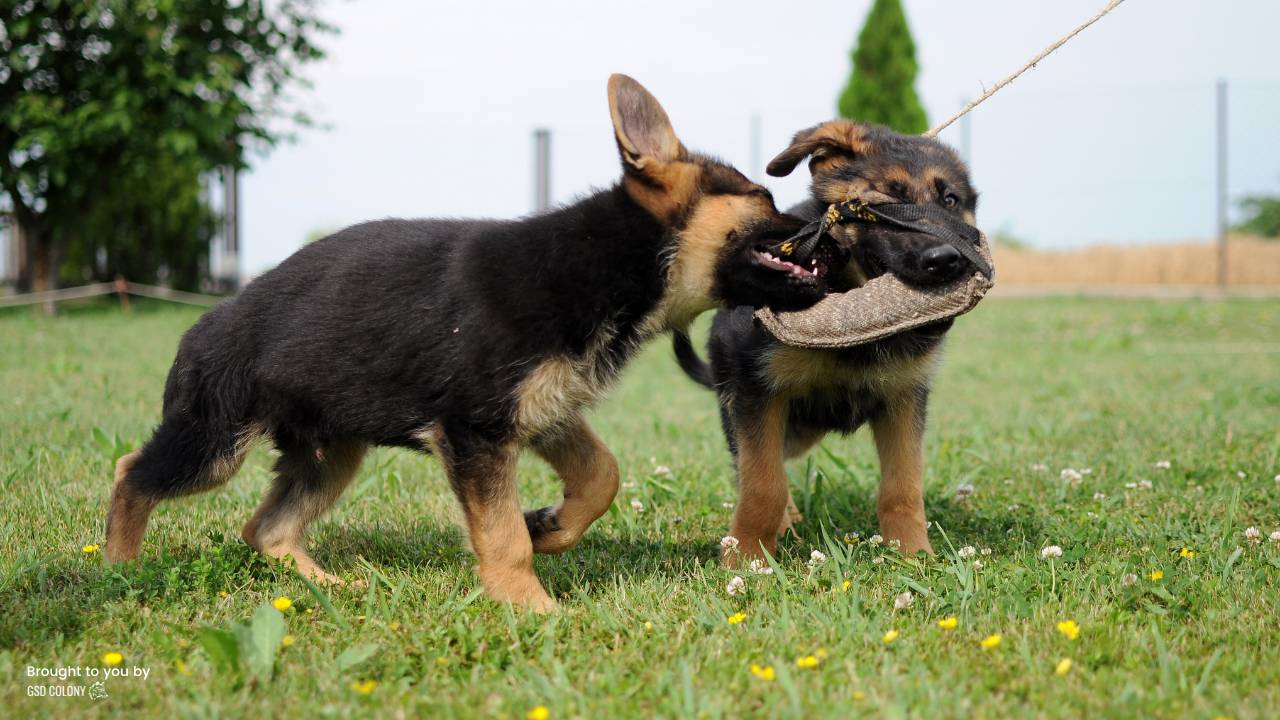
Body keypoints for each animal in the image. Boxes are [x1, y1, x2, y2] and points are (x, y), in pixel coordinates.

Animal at [102, 75, 839, 607]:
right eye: (760, 197)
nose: (831, 234)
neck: (604, 262)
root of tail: (204, 324)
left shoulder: (541, 409)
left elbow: (601, 474)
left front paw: (552, 530)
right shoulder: (476, 431)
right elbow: (503, 535)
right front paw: (530, 607)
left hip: (329, 453)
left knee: (265, 527)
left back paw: (330, 586)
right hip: (216, 442)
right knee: (131, 473)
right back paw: (118, 569)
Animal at [675, 119, 972, 561]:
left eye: (950, 200)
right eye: (883, 204)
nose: (946, 260)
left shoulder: (903, 400)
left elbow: (902, 485)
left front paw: (914, 555)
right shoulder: (757, 394)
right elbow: (762, 483)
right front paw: (745, 556)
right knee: (755, 465)